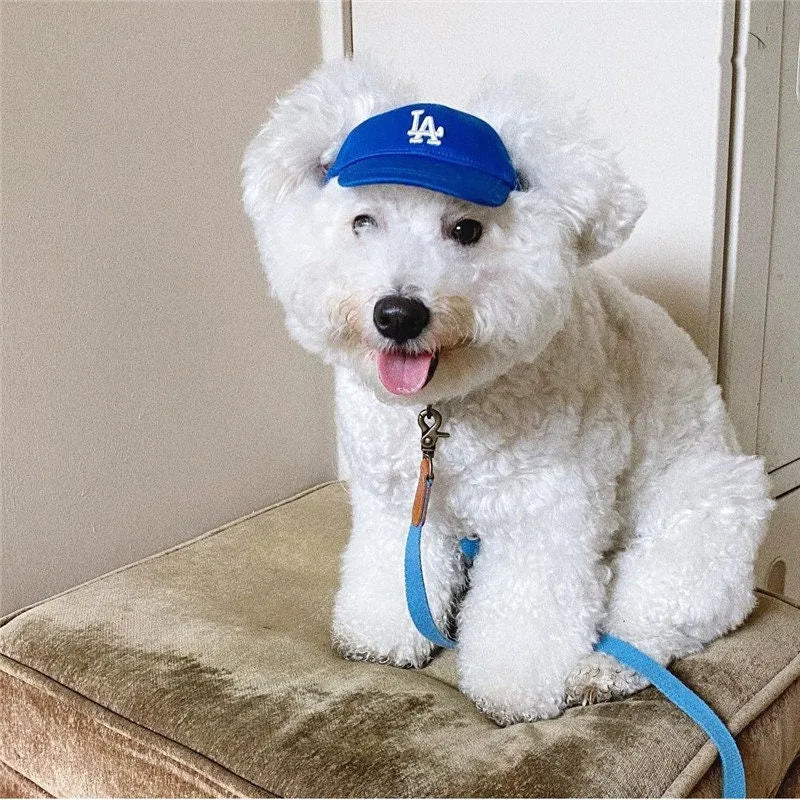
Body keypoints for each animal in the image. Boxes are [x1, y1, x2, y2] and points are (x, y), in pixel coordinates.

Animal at [241, 61, 772, 724]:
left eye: (466, 229)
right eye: (363, 221)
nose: (397, 314)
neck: (445, 412)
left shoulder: (545, 515)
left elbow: (527, 611)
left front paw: (513, 687)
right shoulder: (401, 505)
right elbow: (393, 573)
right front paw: (384, 636)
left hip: (703, 525)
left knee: (651, 618)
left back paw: (601, 672)